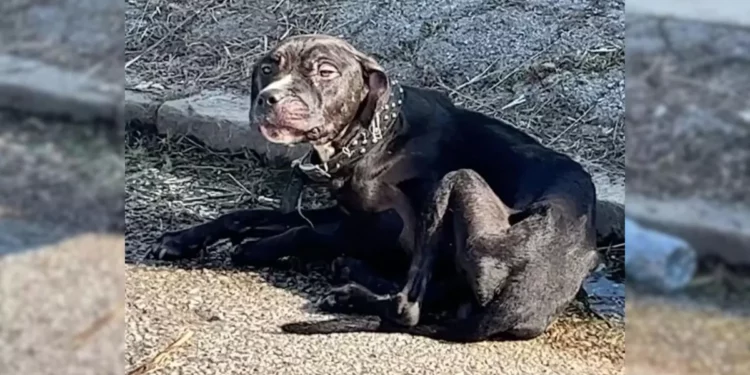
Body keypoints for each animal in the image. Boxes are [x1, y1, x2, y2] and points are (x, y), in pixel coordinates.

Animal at [156, 35, 624, 344]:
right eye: (269, 67)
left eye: (325, 72)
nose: (268, 98)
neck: (376, 132)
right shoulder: (345, 212)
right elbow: (252, 214)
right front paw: (184, 238)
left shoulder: (382, 228)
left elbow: (301, 232)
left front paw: (255, 248)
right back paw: (352, 277)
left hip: (456, 185)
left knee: (409, 307)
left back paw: (351, 288)